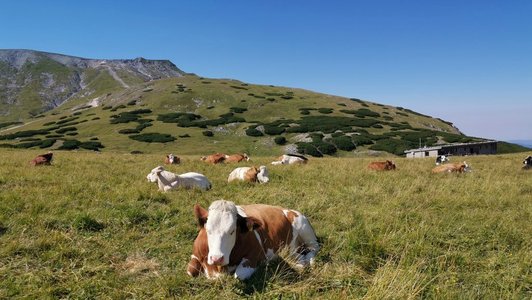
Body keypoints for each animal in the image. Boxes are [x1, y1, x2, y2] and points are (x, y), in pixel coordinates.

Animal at [188, 200, 320, 280]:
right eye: (208, 230)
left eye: (232, 231)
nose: (217, 258)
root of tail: (287, 209)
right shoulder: (195, 255)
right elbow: (191, 271)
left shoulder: (256, 255)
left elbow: (240, 275)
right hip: (291, 248)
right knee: (298, 256)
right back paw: (299, 262)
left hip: (305, 230)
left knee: (314, 249)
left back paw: (310, 261)